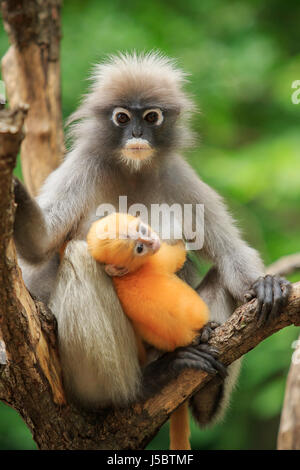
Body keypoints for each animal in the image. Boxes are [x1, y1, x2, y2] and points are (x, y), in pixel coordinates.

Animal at [87, 212, 211, 448]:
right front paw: (183, 240)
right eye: (139, 249)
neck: (125, 276)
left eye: (141, 231)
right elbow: (177, 256)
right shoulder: (157, 260)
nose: (152, 241)